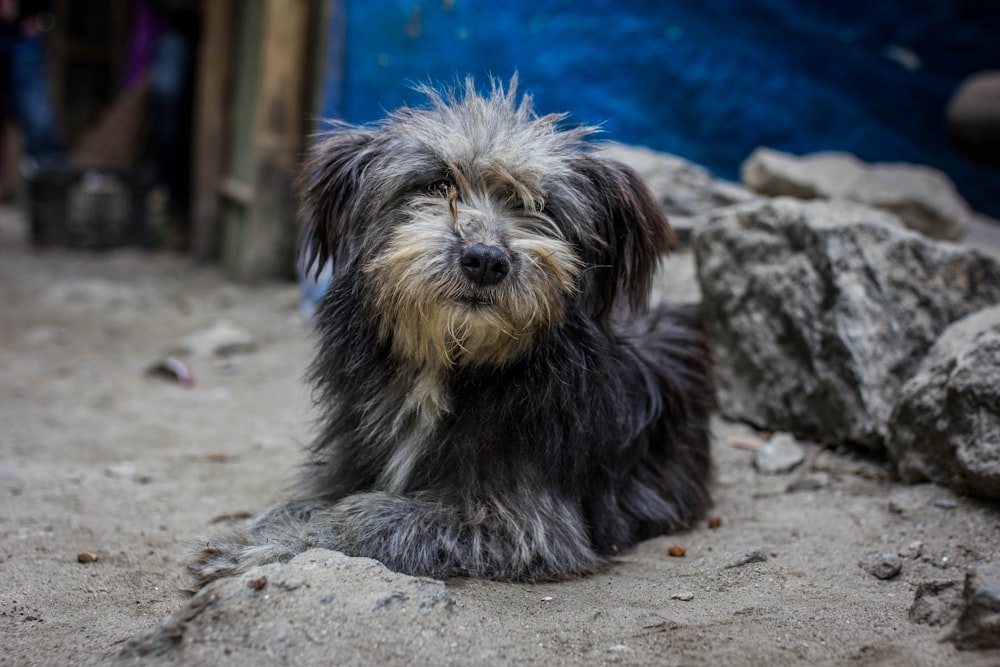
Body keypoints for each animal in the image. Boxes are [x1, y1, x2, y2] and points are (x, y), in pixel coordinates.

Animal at [189, 77, 712, 584]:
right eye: (438, 183)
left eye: (541, 207)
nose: (485, 260)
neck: (446, 363)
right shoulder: (345, 463)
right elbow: (296, 503)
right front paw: (252, 534)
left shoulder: (527, 524)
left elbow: (375, 515)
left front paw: (269, 549)